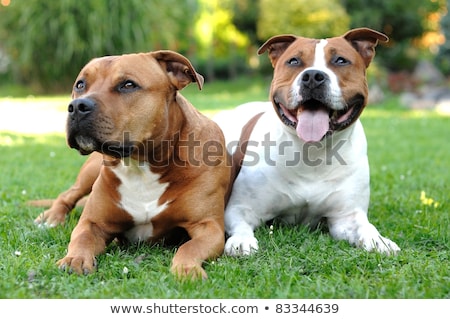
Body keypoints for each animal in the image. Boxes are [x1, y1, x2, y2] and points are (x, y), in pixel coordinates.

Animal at [33, 50, 230, 280]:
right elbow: (81, 237)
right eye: (80, 84)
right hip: (89, 173)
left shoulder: (209, 227)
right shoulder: (92, 222)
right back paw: (52, 217)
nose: (77, 106)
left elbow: (190, 247)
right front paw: (75, 259)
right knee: (68, 195)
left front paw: (187, 268)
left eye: (128, 84)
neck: (141, 165)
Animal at [215, 27, 400, 258]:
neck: (312, 153)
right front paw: (241, 241)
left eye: (341, 60)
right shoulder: (240, 208)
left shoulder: (346, 216)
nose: (313, 76)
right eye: (294, 61)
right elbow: (240, 225)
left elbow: (366, 227)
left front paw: (379, 240)